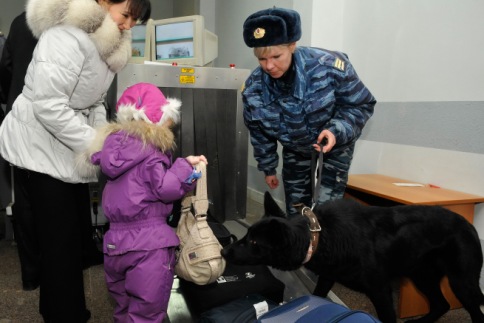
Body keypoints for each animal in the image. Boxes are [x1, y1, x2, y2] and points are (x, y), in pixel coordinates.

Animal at [222, 194, 484, 322]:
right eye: (247, 235)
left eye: (254, 243)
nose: (224, 252)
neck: (319, 237)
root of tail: (469, 226)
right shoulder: (327, 277)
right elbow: (318, 296)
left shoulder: (380, 291)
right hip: (422, 277)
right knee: (441, 304)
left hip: (461, 283)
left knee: (474, 313)